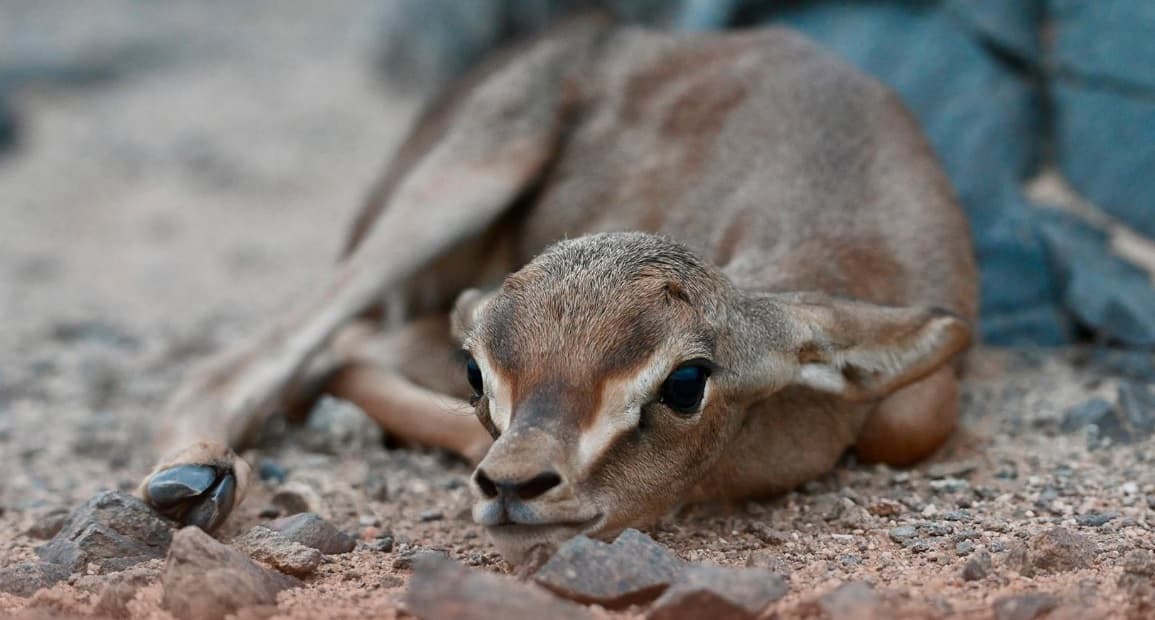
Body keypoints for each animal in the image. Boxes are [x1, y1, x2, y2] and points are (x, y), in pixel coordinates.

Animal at [138, 17, 978, 563]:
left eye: (686, 382)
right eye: (475, 371)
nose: (514, 485)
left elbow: (910, 416)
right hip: (460, 183)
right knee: (270, 352)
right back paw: (194, 477)